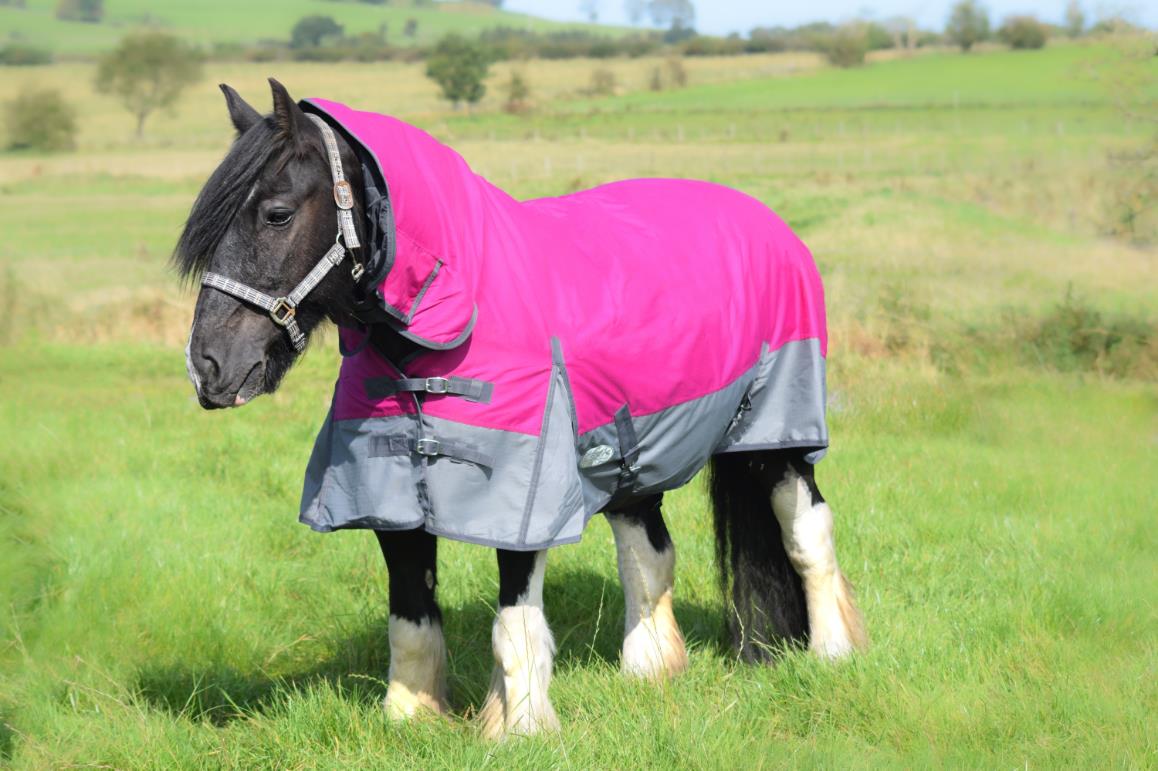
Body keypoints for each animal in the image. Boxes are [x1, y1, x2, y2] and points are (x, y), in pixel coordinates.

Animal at [176, 79, 867, 739]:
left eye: (277, 214)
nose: (209, 367)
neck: (462, 308)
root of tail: (768, 222)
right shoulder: (389, 490)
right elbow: (410, 613)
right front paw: (410, 717)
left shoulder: (521, 495)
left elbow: (516, 619)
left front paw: (524, 727)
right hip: (628, 444)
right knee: (647, 551)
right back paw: (649, 670)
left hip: (774, 436)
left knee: (807, 530)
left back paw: (834, 653)